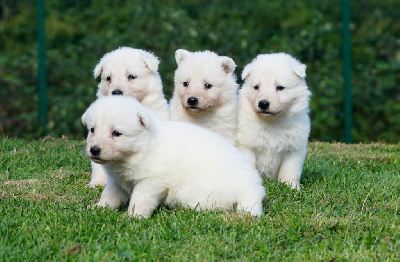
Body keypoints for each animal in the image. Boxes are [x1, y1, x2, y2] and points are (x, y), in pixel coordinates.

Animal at [81, 96, 266, 217]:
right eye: (92, 130)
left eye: (117, 133)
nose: (94, 149)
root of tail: (251, 188)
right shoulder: (117, 180)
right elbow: (109, 195)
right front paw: (98, 208)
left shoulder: (151, 181)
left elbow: (140, 199)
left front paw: (133, 217)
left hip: (194, 193)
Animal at [236, 52, 310, 190]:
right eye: (256, 87)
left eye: (280, 87)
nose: (263, 104)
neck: (272, 121)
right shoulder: (246, 145)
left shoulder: (294, 148)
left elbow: (290, 170)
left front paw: (291, 187)